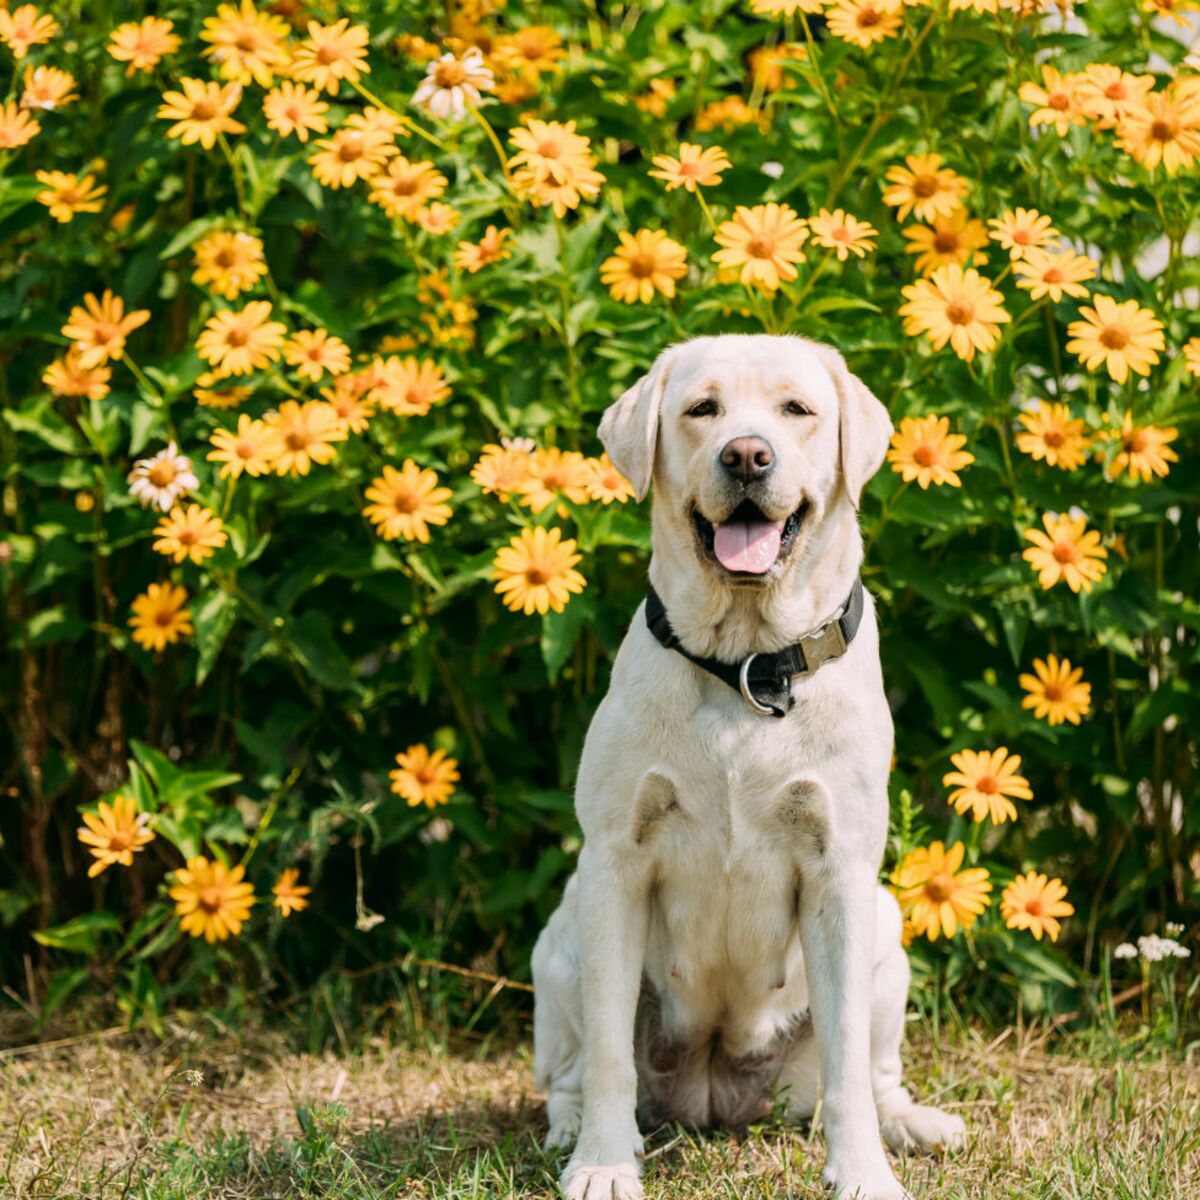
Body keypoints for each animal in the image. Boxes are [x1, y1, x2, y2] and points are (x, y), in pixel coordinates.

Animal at [535, 331, 964, 1200]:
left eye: (797, 410)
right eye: (702, 409)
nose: (746, 455)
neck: (747, 663)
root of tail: (714, 1090)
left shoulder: (840, 870)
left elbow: (847, 1067)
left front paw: (862, 1172)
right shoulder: (615, 863)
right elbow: (606, 1053)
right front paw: (603, 1162)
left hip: (888, 934)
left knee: (873, 1076)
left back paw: (912, 1125)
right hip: (560, 934)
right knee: (568, 1069)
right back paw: (569, 1128)